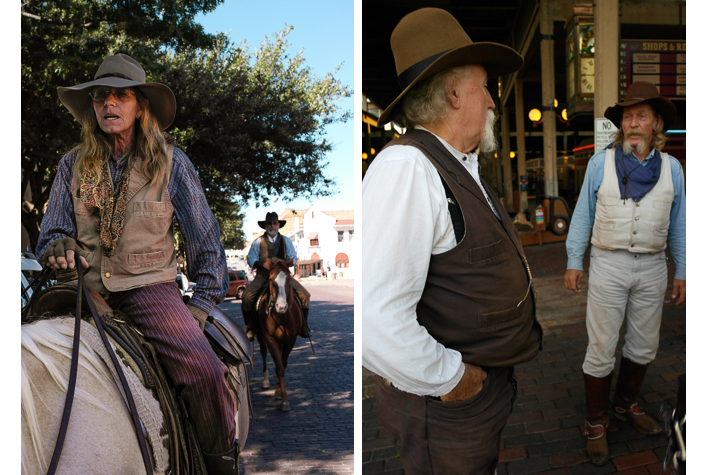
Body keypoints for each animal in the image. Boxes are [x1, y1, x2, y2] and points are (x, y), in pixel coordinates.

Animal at [256, 258, 304, 410]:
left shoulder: (291, 340)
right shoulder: (270, 339)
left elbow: (283, 364)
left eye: (289, 279)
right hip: (261, 337)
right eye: (271, 280)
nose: (281, 307)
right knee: (263, 353)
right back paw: (265, 380)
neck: (282, 317)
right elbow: (279, 367)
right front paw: (284, 400)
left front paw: (279, 392)